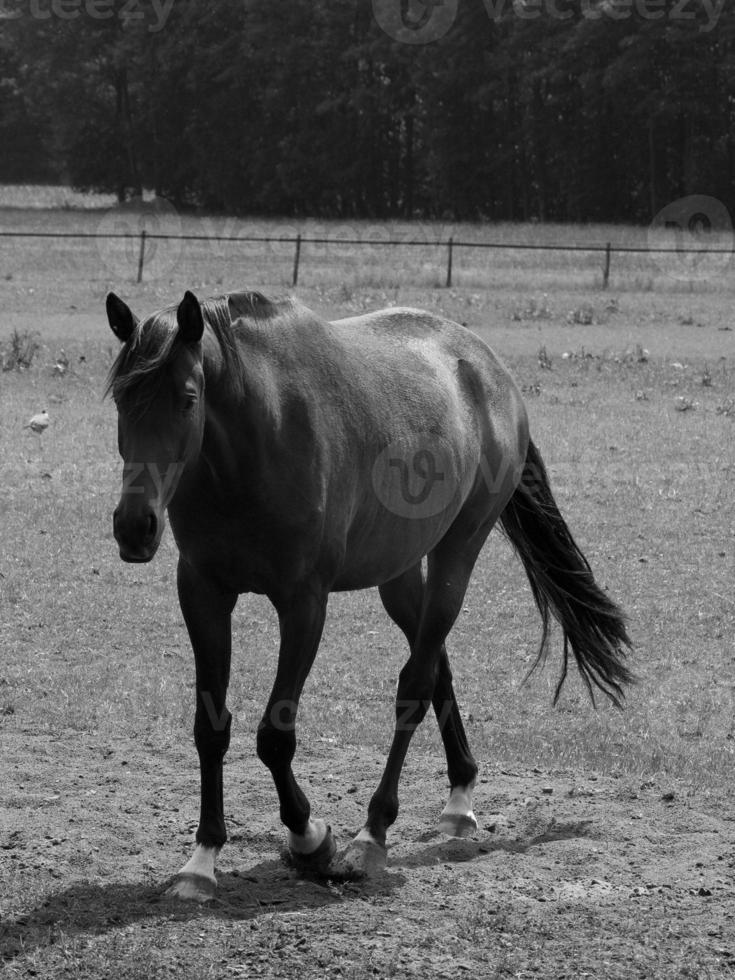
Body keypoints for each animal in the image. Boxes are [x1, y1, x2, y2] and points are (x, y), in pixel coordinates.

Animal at [105, 288, 632, 900]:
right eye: (122, 400)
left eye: (188, 399)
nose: (134, 526)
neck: (255, 441)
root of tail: (489, 368)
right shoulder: (203, 593)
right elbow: (210, 726)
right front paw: (202, 859)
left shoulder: (304, 604)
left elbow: (275, 737)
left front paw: (311, 839)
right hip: (399, 575)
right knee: (437, 667)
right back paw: (459, 797)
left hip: (456, 555)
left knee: (415, 686)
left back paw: (372, 833)